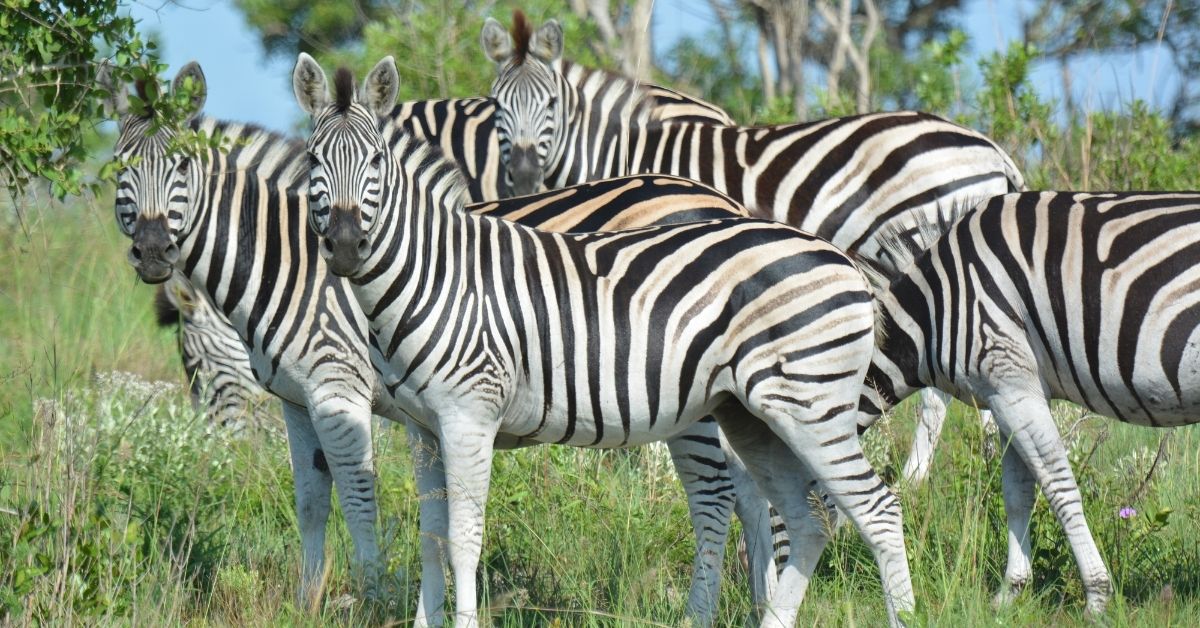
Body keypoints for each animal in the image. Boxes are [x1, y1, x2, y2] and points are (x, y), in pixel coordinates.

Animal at [295, 52, 912, 628]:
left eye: (376, 161)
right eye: (313, 161)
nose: (345, 247)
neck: (436, 271)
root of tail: (841, 258)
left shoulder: (469, 415)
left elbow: (464, 539)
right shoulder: (422, 429)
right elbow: (432, 539)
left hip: (810, 405)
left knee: (876, 508)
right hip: (750, 414)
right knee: (806, 519)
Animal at [864, 190, 1200, 614]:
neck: (934, 311)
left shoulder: (1011, 385)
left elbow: (1058, 487)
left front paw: (1096, 597)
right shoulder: (1004, 395)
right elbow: (1017, 494)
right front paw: (1010, 592)